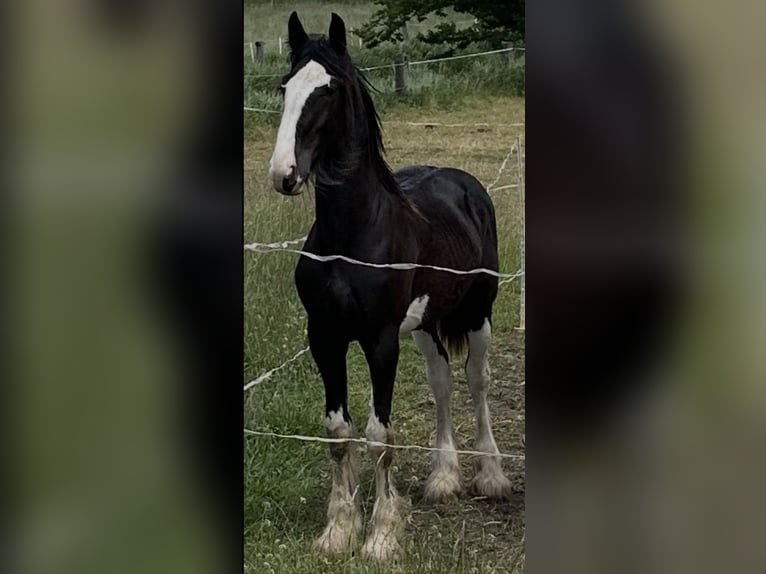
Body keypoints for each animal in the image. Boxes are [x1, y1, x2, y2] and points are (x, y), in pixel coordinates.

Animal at [267, 11, 512, 561]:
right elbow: (339, 431)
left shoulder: (380, 341)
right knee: (442, 381)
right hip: (424, 325)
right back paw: (443, 478)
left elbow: (380, 435)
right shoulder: (325, 337)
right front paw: (338, 531)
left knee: (476, 381)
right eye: (285, 87)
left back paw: (490, 475)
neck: (352, 237)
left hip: (478, 314)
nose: (284, 174)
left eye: (329, 90)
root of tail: (466, 184)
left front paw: (380, 537)